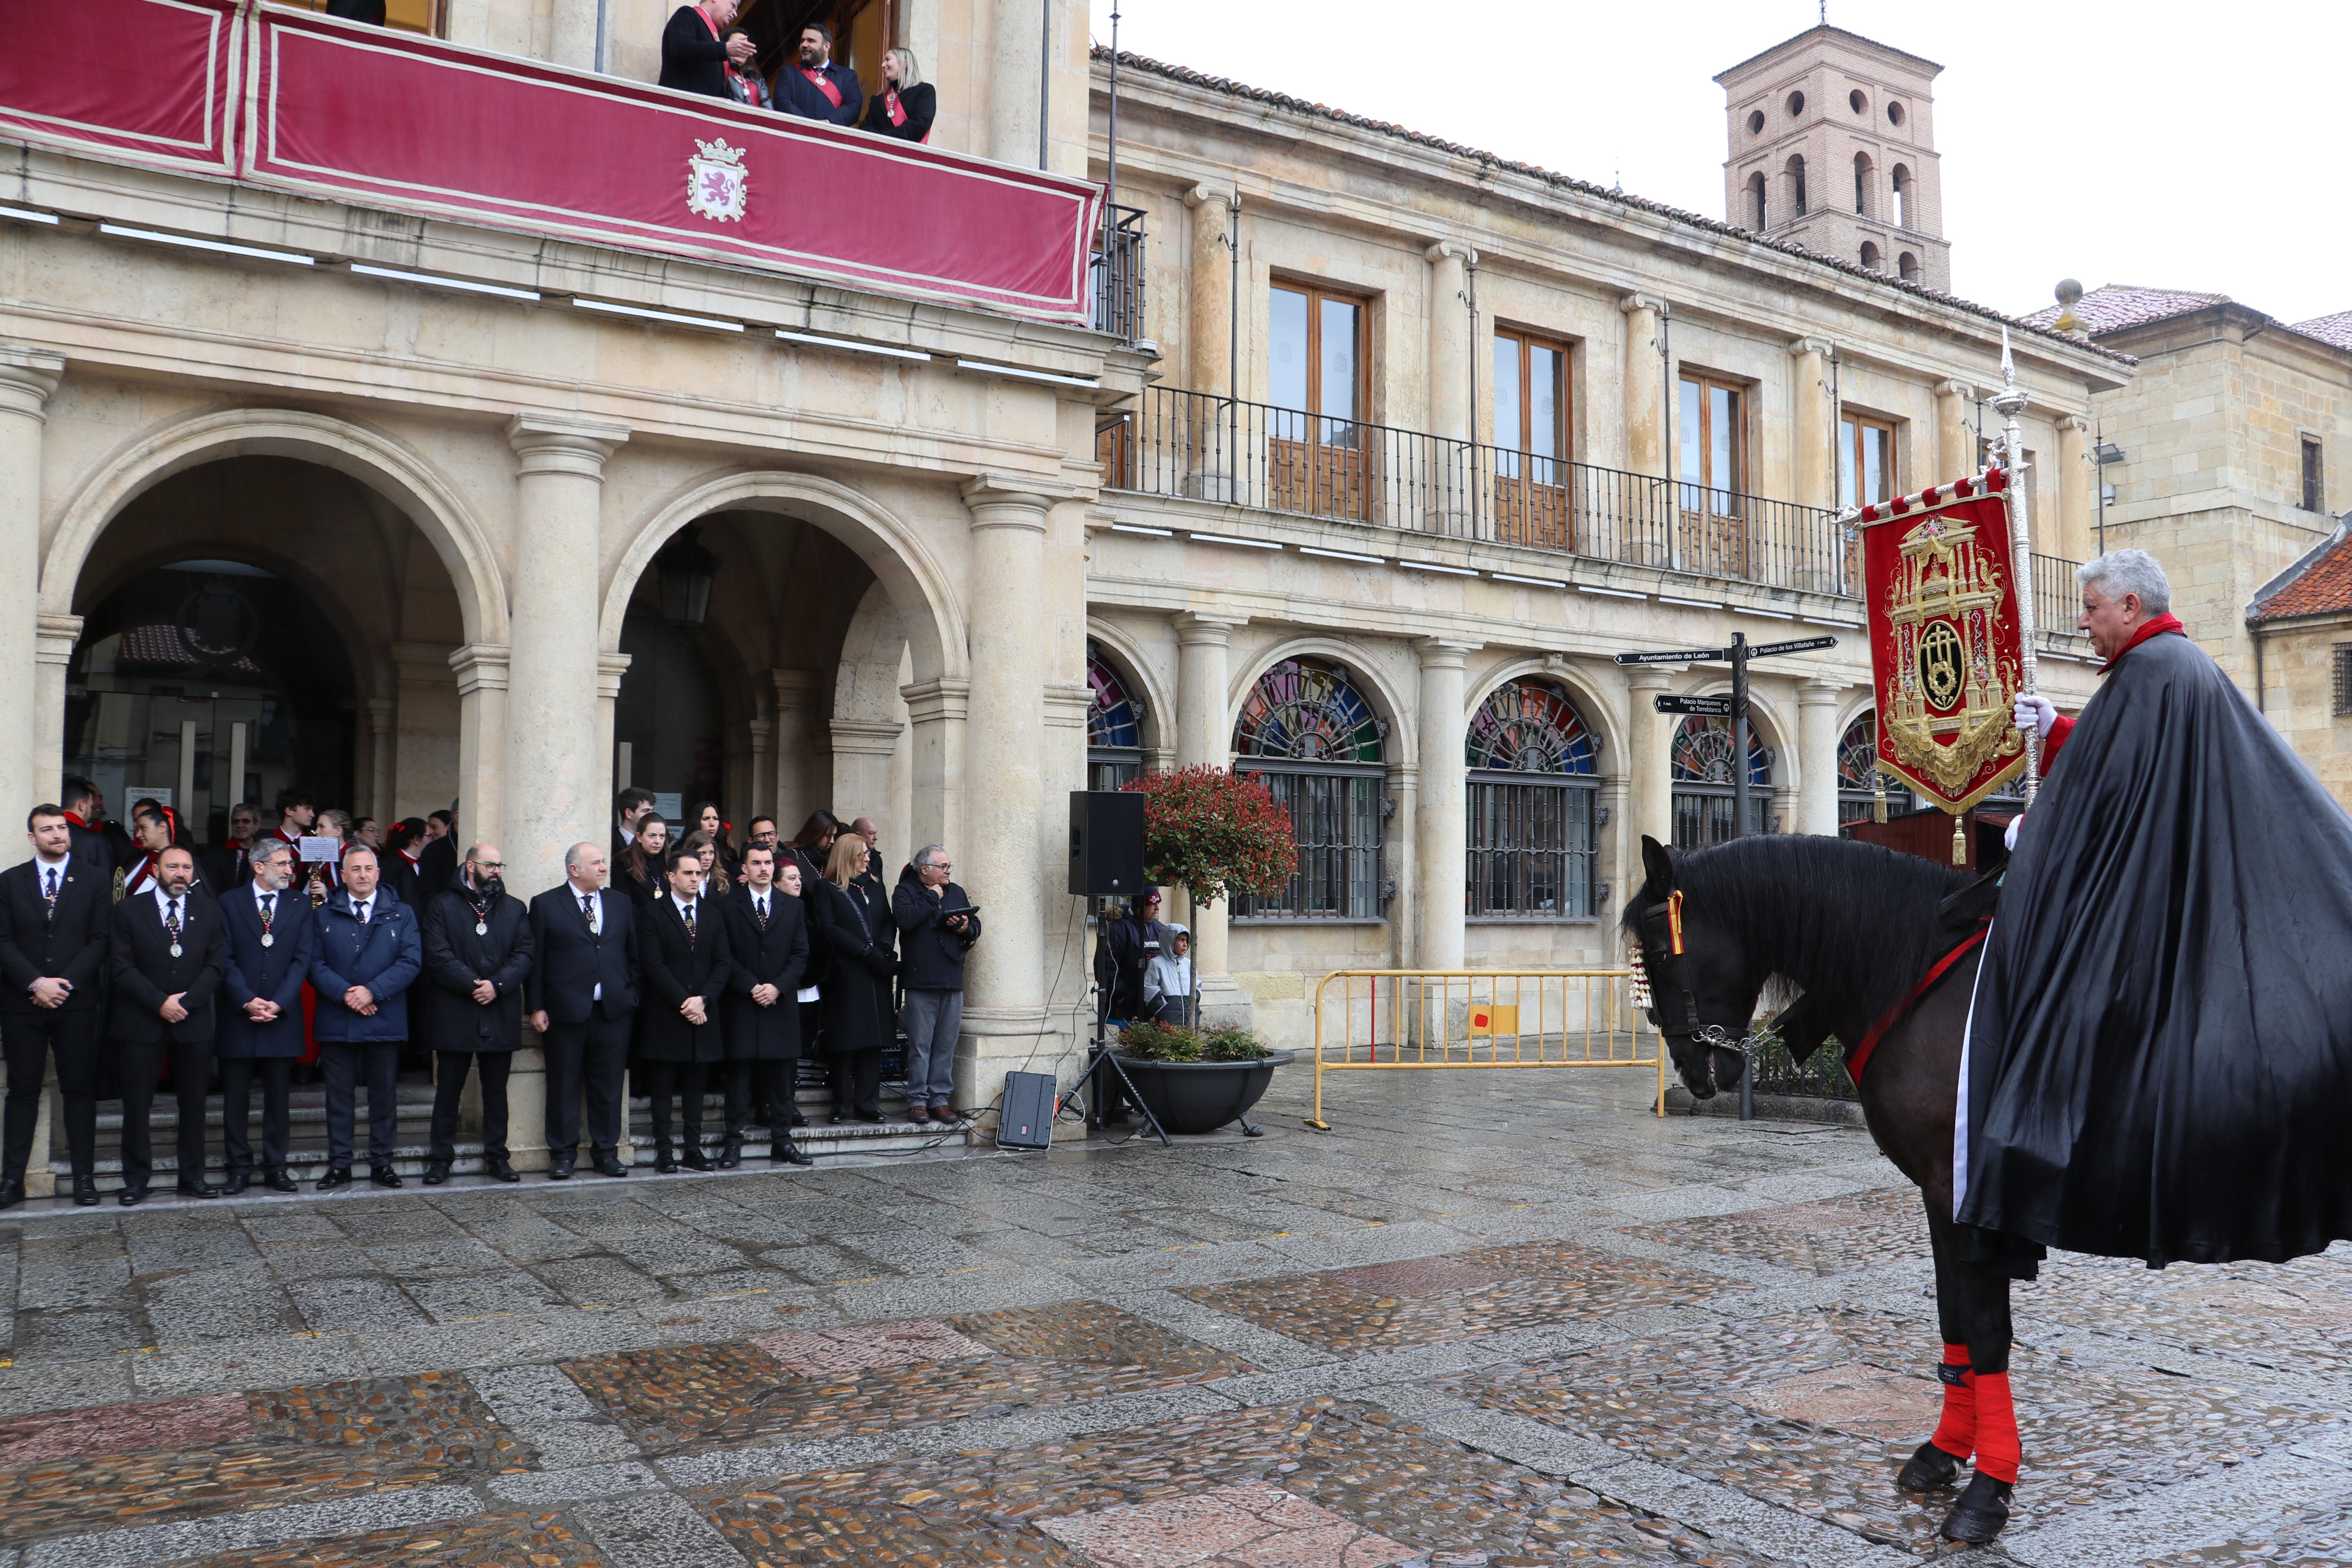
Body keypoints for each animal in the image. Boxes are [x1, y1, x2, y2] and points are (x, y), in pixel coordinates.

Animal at [1628, 832, 2032, 1542]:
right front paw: (1944, 1452)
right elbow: (1952, 1313)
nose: (1692, 1072)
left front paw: (1988, 1490)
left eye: (1656, 954)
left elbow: (1986, 1329)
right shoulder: (1937, 1192)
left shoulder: (1964, 1196)